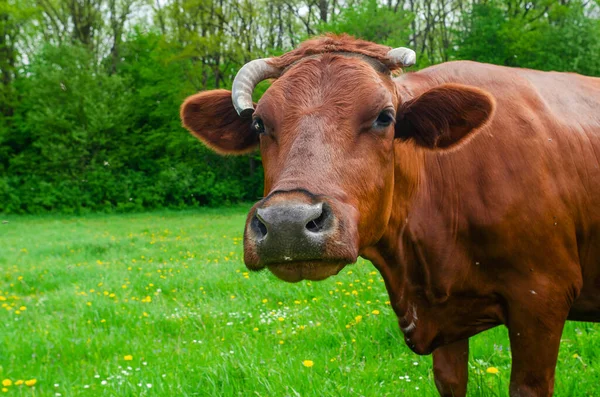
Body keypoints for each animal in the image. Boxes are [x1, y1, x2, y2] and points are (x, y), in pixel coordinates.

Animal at [182, 34, 600, 396]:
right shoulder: (447, 318)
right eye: (259, 123)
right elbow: (451, 380)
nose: (288, 224)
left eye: (385, 117)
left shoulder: (542, 298)